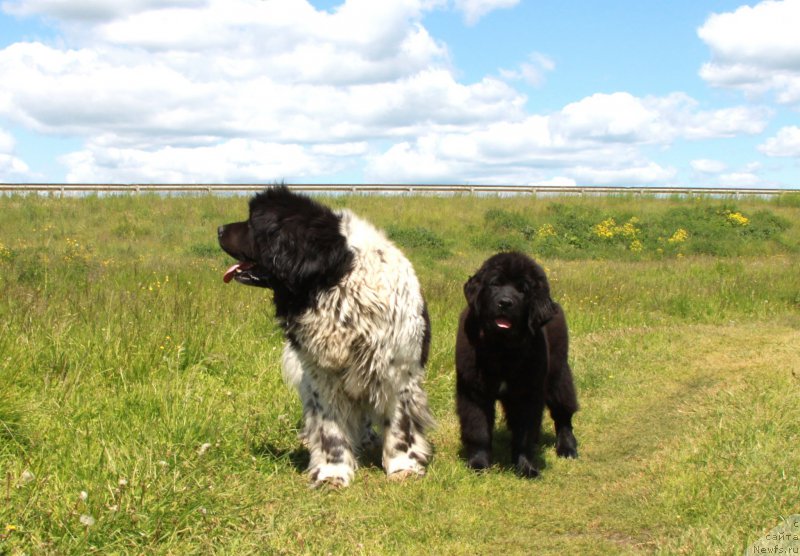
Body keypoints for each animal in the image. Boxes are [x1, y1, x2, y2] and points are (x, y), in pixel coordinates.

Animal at [217, 188, 432, 486]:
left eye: (251, 223)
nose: (219, 229)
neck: (333, 282)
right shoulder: (322, 377)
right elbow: (330, 429)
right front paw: (332, 472)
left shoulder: (397, 371)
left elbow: (400, 425)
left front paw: (403, 467)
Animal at [454, 252, 580, 478]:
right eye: (495, 284)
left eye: (522, 290)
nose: (505, 302)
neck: (502, 349)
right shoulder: (474, 392)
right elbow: (478, 429)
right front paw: (479, 464)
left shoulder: (527, 393)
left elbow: (524, 432)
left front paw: (526, 467)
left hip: (558, 374)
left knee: (563, 413)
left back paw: (567, 448)